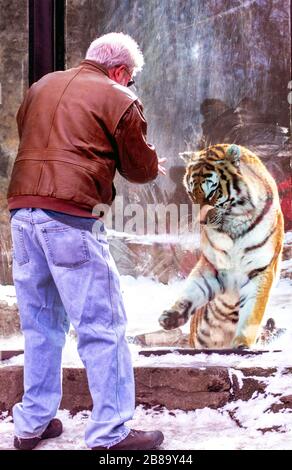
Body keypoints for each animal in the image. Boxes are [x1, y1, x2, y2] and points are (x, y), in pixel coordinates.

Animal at [159, 144, 284, 348]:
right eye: (192, 194)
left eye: (212, 193)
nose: (201, 222)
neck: (233, 227)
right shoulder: (212, 265)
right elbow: (193, 288)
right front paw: (171, 315)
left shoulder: (261, 271)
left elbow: (252, 313)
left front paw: (242, 344)